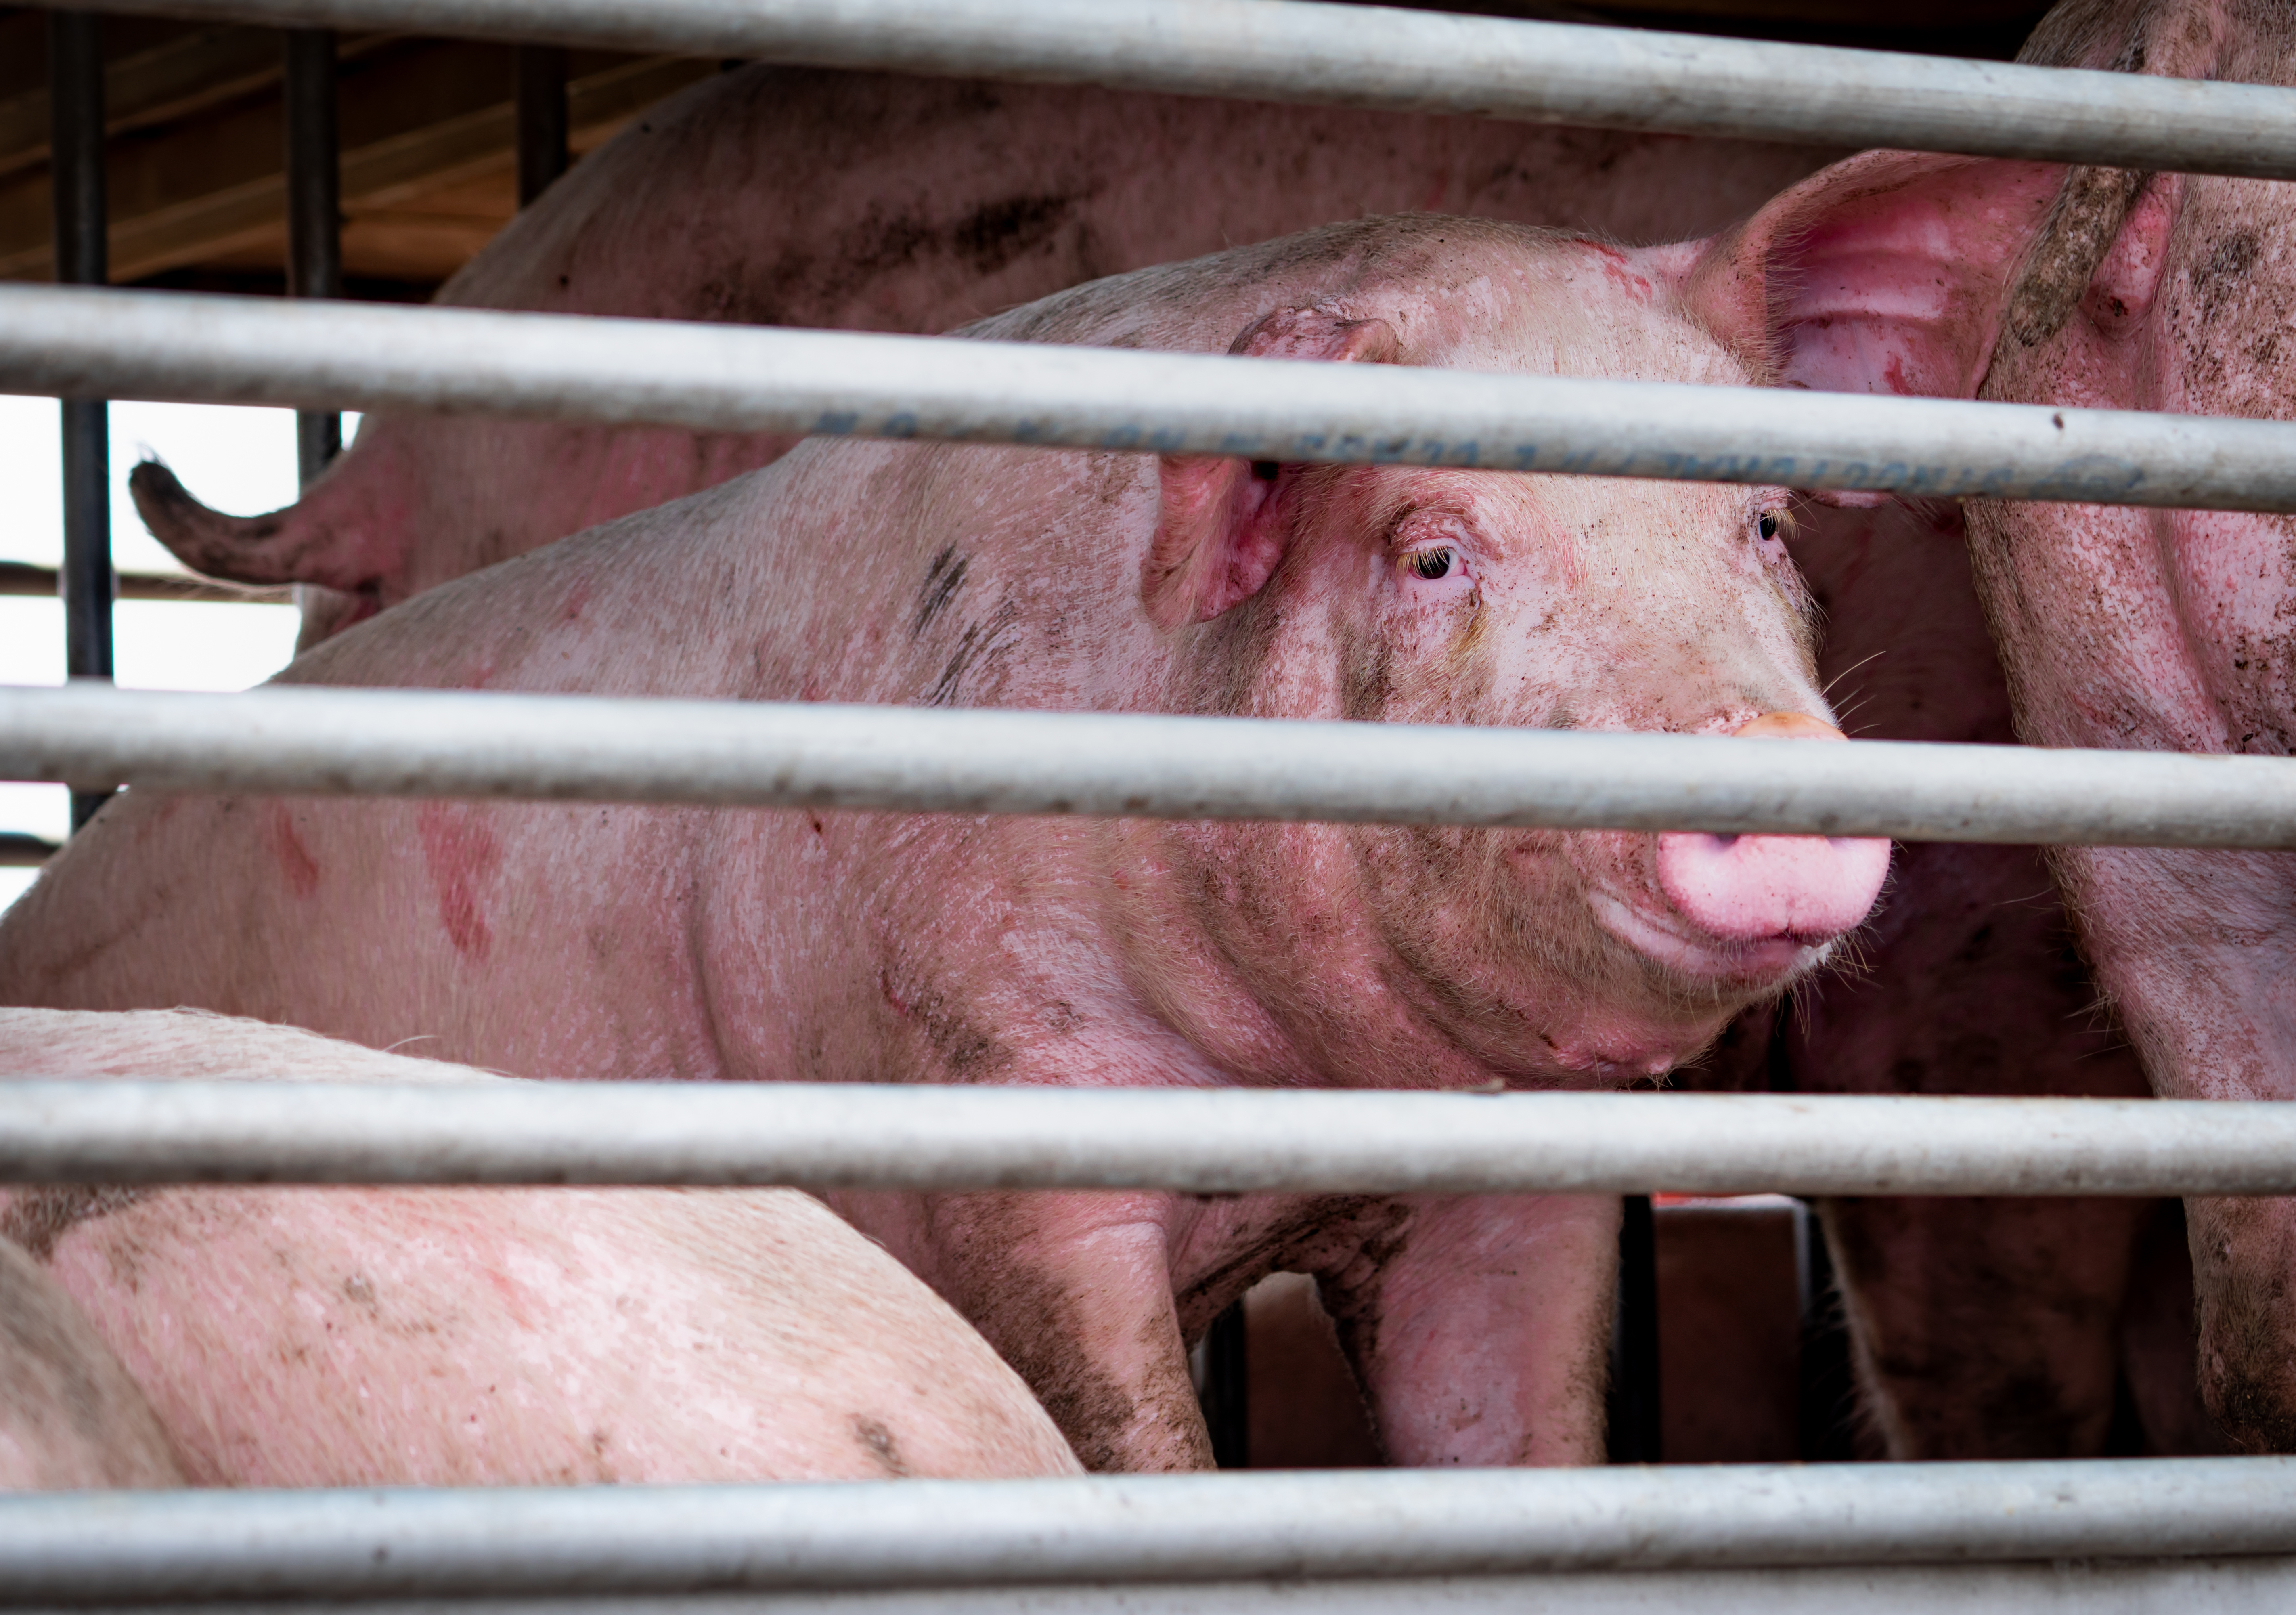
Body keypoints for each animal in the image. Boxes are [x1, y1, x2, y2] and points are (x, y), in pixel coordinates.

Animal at [121, 57, 2185, 1461]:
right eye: (1432, 550)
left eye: (1761, 522)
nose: (1774, 792)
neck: (1298, 1095)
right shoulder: (995, 1115)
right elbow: (1131, 1441)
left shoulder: (1525, 1182)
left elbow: (1518, 1441)